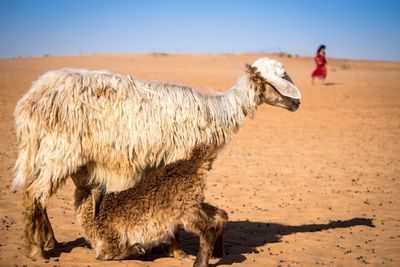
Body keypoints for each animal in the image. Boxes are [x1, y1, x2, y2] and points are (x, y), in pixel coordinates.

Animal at [73, 144, 227, 267]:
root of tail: (193, 163)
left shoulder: (109, 240)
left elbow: (103, 256)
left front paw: (136, 250)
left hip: (186, 210)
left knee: (209, 228)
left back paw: (200, 263)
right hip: (194, 203)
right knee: (221, 215)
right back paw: (218, 252)